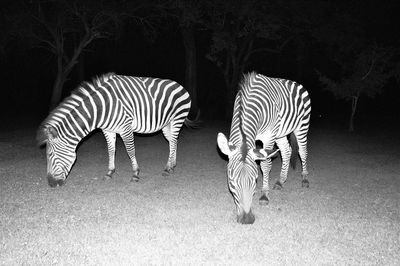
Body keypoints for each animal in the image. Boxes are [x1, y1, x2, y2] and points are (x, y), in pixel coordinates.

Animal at [36, 73, 196, 187]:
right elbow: (111, 150)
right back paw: (171, 166)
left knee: (173, 141)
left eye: (50, 155)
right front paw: (110, 172)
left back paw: (168, 169)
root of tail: (180, 85)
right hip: (166, 124)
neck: (101, 109)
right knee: (173, 141)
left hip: (177, 119)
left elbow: (130, 151)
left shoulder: (126, 128)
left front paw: (135, 174)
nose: (51, 184)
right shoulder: (108, 130)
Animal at [217, 71, 310, 223]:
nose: (247, 220)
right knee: (286, 151)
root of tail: (296, 83)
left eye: (255, 180)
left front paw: (265, 195)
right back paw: (280, 181)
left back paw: (305, 179)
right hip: (280, 133)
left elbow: (266, 165)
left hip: (302, 126)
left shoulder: (269, 136)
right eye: (231, 182)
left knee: (302, 152)